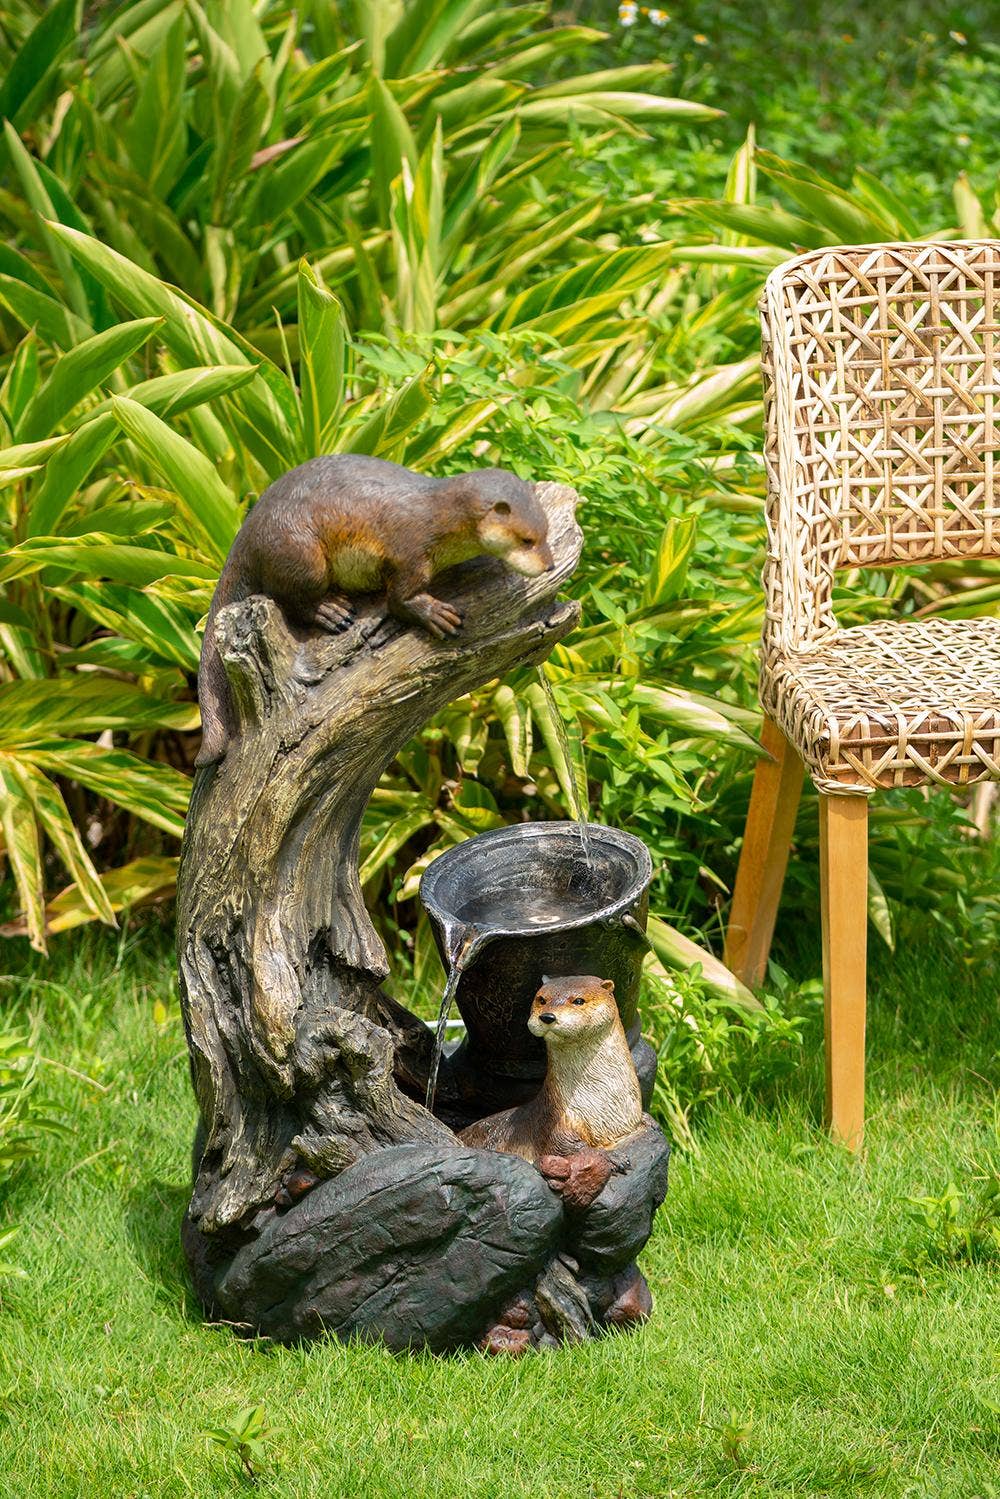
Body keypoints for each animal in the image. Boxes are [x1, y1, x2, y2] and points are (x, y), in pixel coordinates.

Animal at [195, 455, 554, 766]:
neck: (437, 520)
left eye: (545, 533)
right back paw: (330, 610)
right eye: (526, 540)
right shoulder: (411, 554)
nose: (549, 565)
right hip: (299, 551)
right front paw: (437, 615)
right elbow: (400, 600)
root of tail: (249, 526)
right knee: (289, 595)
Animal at [459, 975, 645, 1211]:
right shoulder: (557, 1123)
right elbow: (566, 1146)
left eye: (578, 1001)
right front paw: (613, 1157)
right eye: (541, 999)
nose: (547, 1016)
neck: (600, 1103)